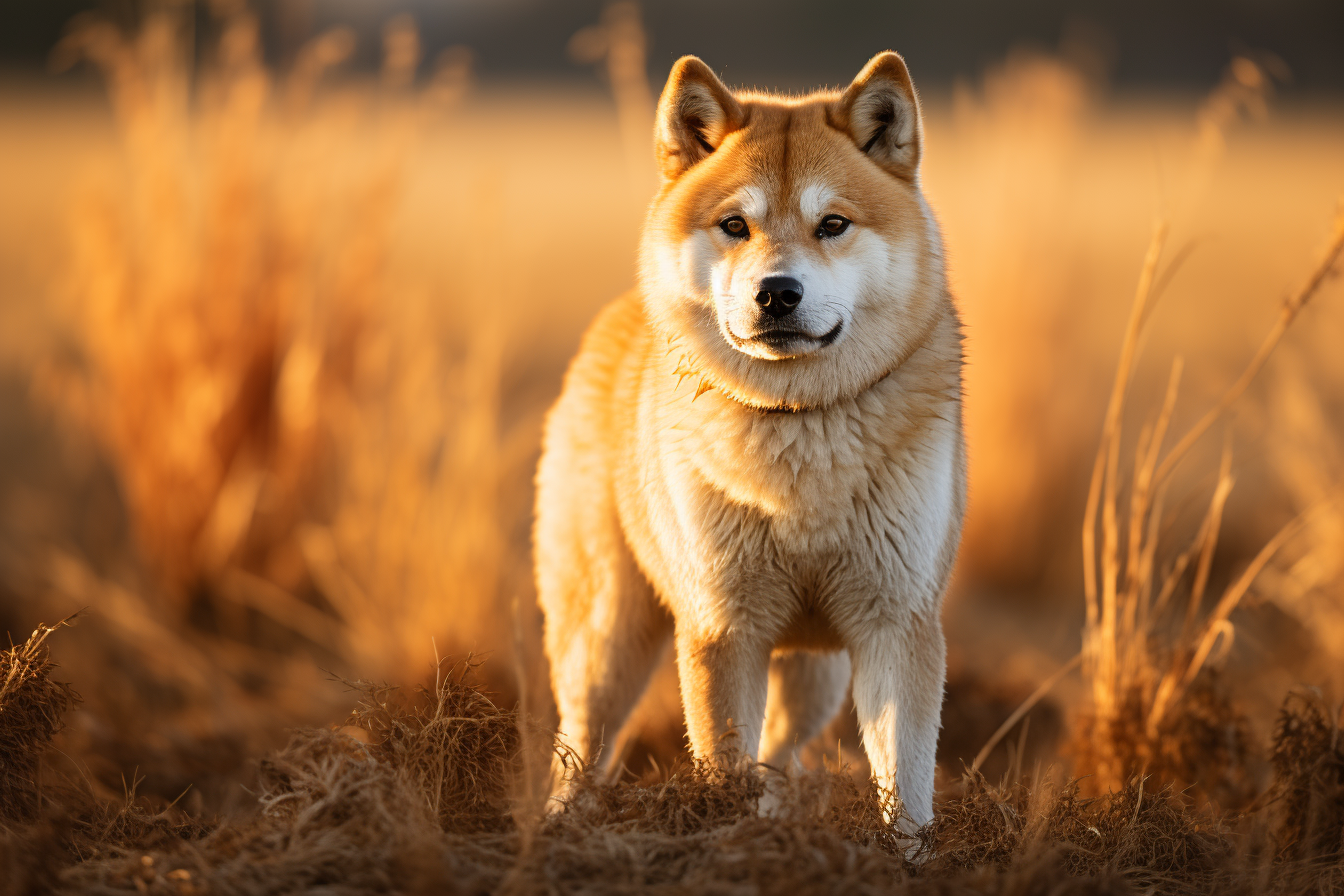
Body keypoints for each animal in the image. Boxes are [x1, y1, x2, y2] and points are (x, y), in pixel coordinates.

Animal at [534, 52, 967, 832]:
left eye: (833, 224)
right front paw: (731, 836)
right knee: (580, 745)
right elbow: (723, 762)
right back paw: (558, 826)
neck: (799, 427)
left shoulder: (896, 624)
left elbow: (905, 785)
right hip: (607, 640)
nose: (778, 292)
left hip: (816, 671)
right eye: (735, 224)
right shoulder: (723, 629)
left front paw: (906, 851)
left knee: (779, 751)